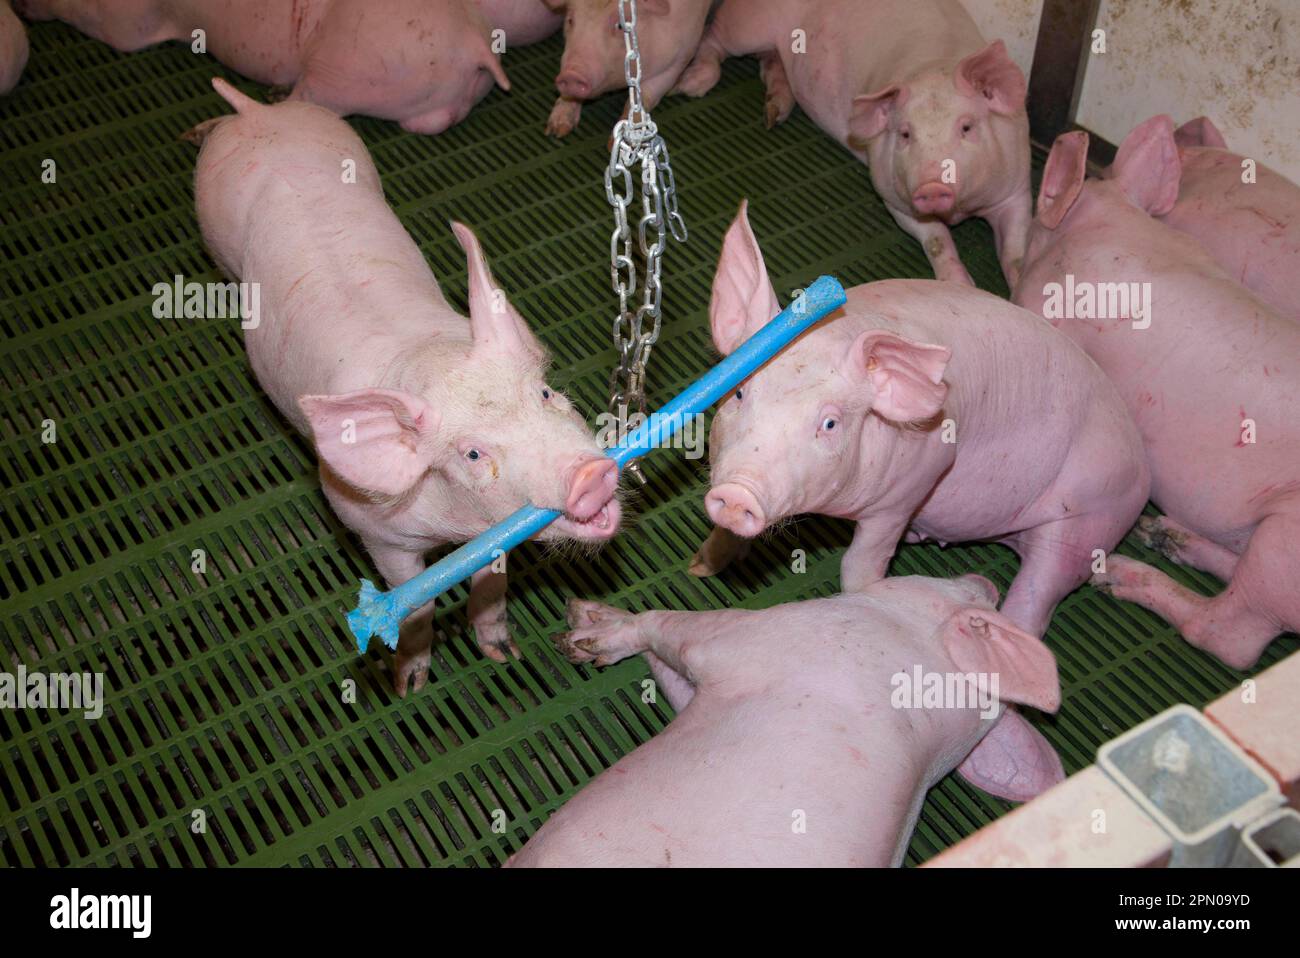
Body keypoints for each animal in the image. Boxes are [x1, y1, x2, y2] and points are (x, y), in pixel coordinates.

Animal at [15, 0, 509, 133]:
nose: (19, 7)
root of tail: (472, 42)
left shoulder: (130, 20)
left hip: (341, 71)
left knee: (302, 104)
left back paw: (203, 129)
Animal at [193, 79, 622, 695]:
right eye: (472, 454)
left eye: (544, 394)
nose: (590, 474)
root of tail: (253, 113)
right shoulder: (373, 529)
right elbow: (414, 603)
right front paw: (409, 685)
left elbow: (492, 584)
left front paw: (504, 655)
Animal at [541, 0, 712, 137]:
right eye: (571, 20)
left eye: (620, 26)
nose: (572, 74)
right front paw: (556, 130)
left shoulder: (681, 56)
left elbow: (646, 96)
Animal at [675, 0, 1032, 288]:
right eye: (905, 134)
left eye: (967, 127)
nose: (931, 186)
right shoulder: (892, 196)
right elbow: (936, 239)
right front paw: (960, 286)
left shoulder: (1016, 188)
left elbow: (1016, 249)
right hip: (747, 24)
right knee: (712, 38)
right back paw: (688, 86)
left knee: (771, 65)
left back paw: (774, 114)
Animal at [690, 202, 1150, 640]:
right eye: (739, 393)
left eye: (830, 424)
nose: (737, 492)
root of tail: (1142, 473)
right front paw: (701, 567)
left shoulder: (913, 482)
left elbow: (860, 563)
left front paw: (864, 598)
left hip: (1088, 517)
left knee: (1036, 601)